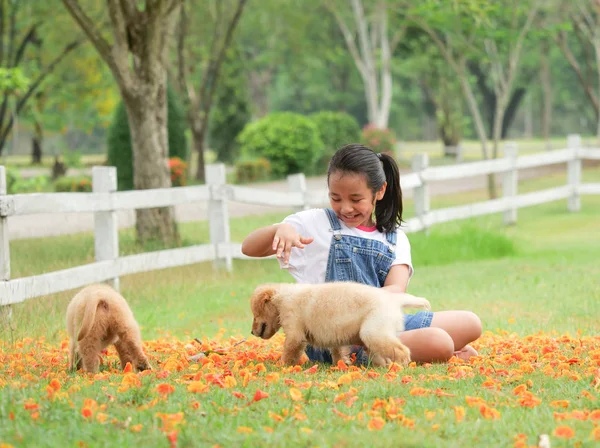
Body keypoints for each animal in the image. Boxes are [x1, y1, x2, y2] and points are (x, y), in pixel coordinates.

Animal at [250, 284, 432, 368]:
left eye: (255, 314)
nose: (251, 332)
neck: (282, 297)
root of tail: (394, 299)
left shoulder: (294, 333)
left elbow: (288, 352)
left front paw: (281, 366)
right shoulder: (335, 337)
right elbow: (338, 352)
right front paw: (341, 365)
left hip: (373, 332)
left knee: (402, 351)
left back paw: (399, 366)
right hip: (372, 338)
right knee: (382, 356)